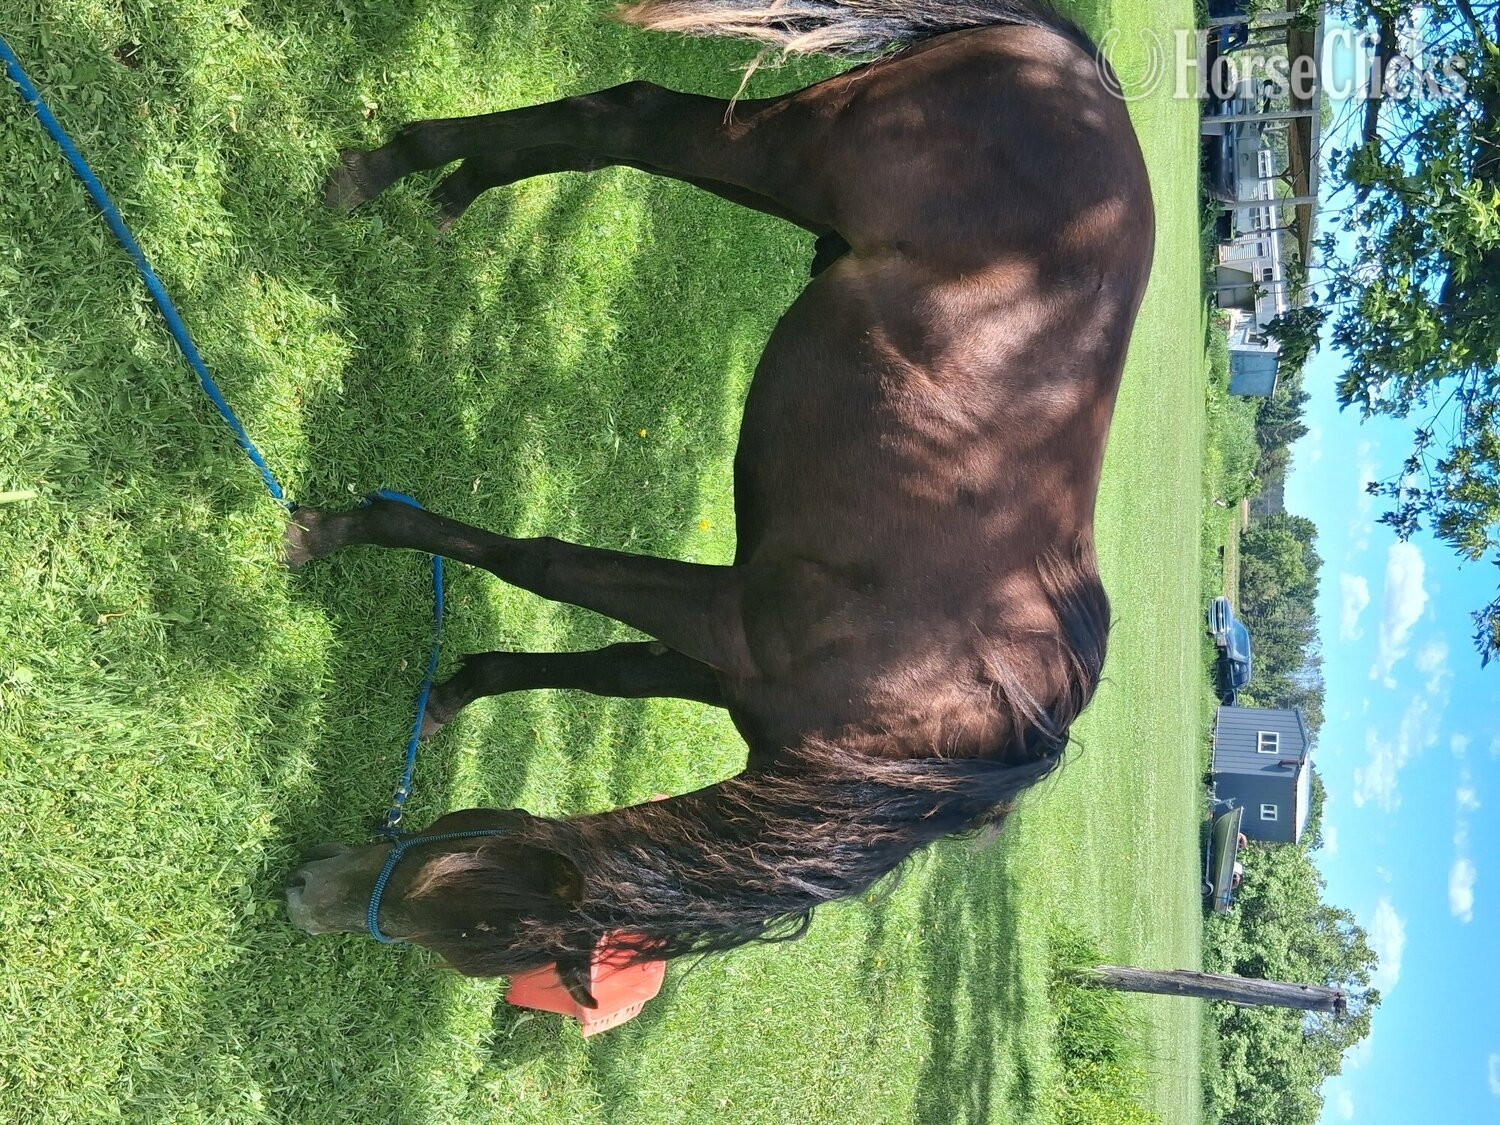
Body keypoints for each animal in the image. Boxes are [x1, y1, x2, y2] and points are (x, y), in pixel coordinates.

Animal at [283, 0, 1154, 1004]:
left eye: (475, 925)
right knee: (622, 118)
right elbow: (538, 561)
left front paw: (457, 687)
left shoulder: (730, 661)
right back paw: (387, 167)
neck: (925, 724)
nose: (304, 893)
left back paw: (456, 186)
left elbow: (608, 665)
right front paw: (337, 529)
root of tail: (1070, 65)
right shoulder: (730, 618)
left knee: (608, 141)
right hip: (791, 151)